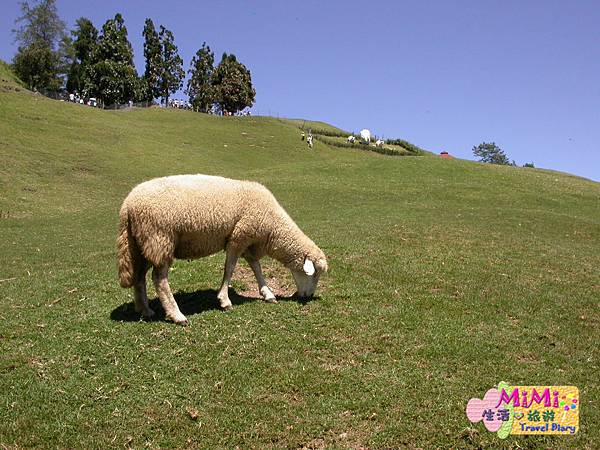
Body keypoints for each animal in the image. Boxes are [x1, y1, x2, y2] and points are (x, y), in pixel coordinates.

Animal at [117, 174, 328, 325]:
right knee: (159, 279)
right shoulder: (239, 236)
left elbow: (256, 268)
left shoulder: (248, 242)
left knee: (139, 277)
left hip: (141, 244)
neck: (273, 226)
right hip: (160, 238)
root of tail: (127, 205)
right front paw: (224, 300)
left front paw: (267, 293)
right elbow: (230, 268)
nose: (309, 296)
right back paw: (177, 315)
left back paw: (145, 310)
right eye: (315, 274)